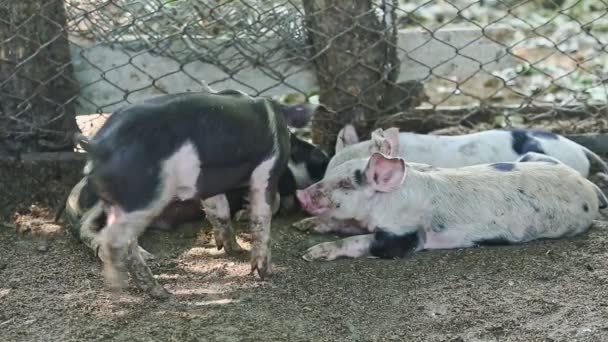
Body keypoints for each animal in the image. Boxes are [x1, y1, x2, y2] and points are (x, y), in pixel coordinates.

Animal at [76, 89, 314, 298]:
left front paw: (232, 249)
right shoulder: (266, 171)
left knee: (124, 243)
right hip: (142, 199)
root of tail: (98, 146)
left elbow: (220, 211)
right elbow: (262, 217)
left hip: (116, 202)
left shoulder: (207, 184)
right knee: (114, 242)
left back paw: (155, 291)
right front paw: (264, 272)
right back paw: (145, 291)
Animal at [294, 151, 604, 260]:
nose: (300, 194)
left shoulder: (406, 236)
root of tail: (588, 187)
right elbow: (344, 226)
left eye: (345, 184)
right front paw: (302, 226)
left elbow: (364, 242)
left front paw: (310, 255)